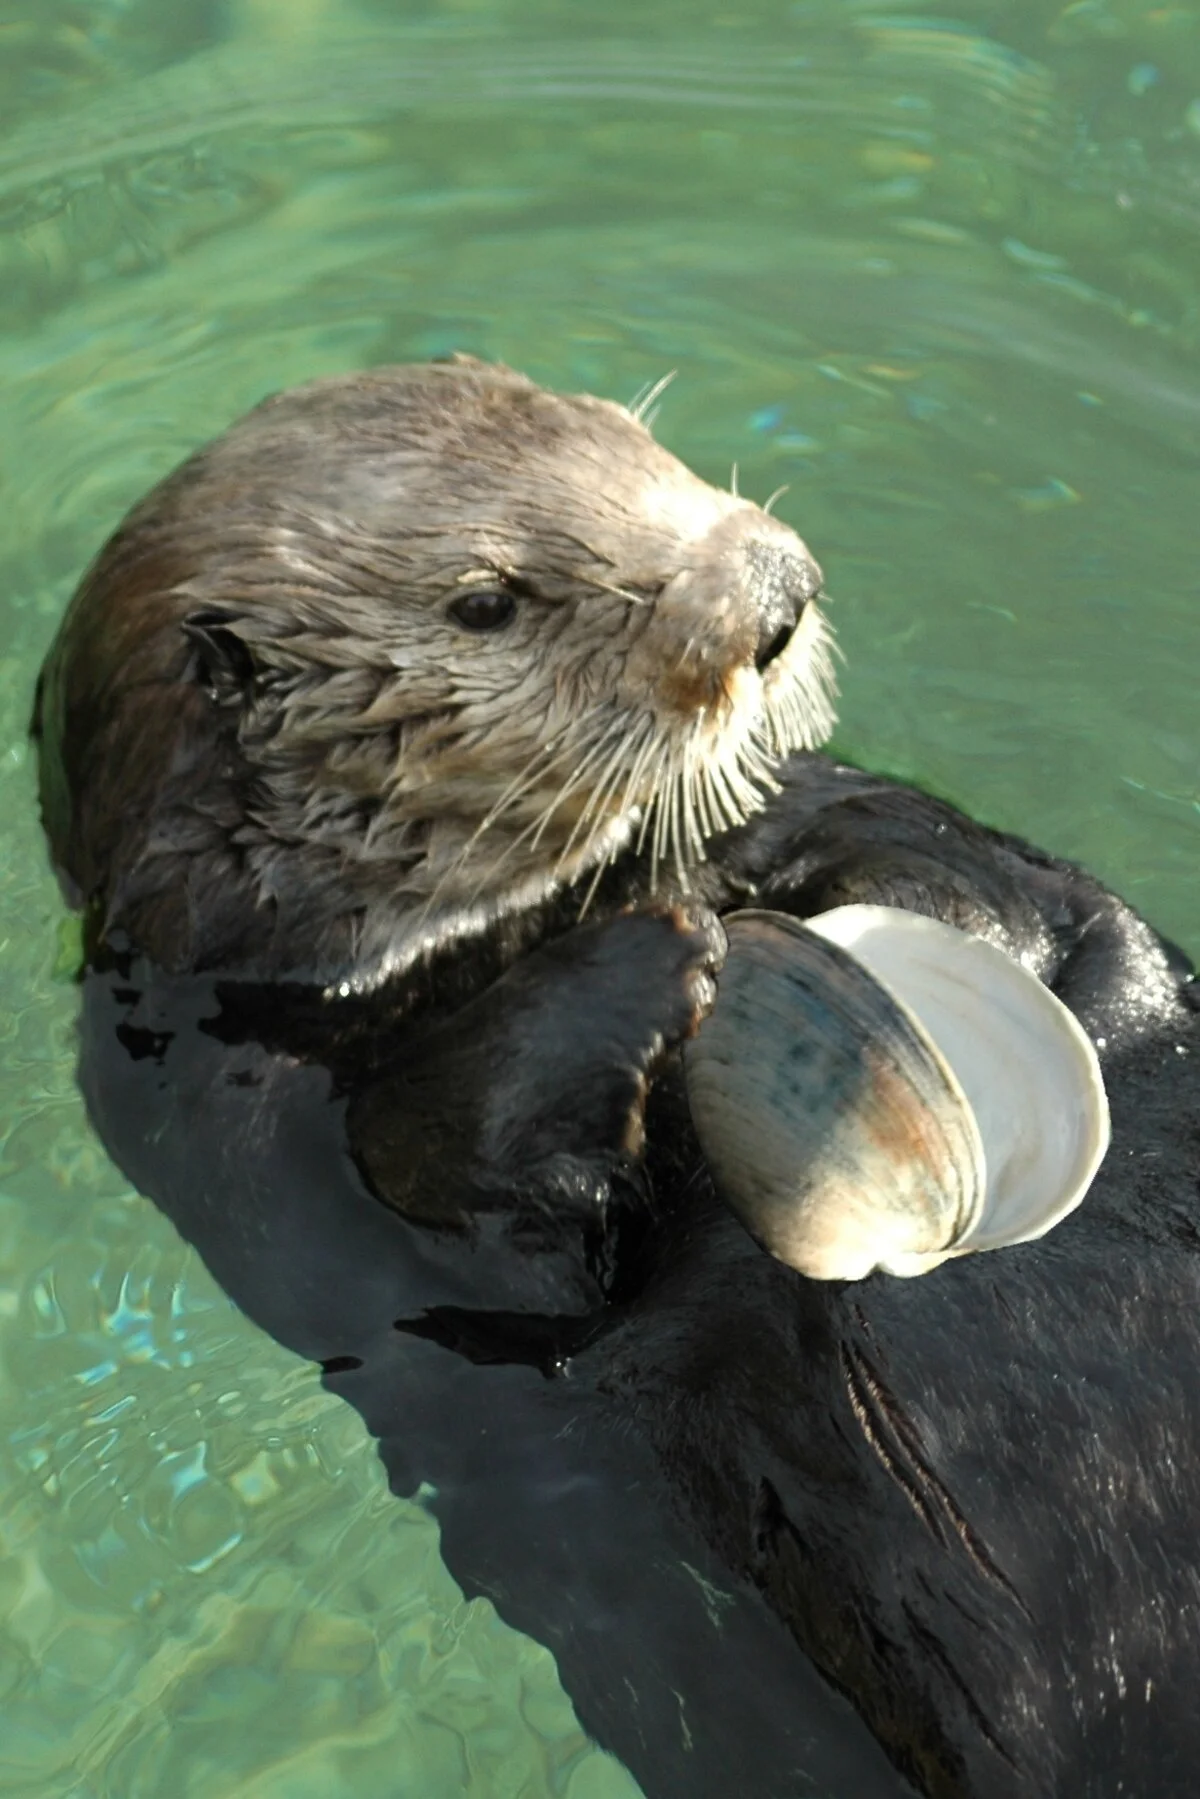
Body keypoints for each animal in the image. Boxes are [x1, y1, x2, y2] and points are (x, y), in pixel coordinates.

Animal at [33, 359, 1200, 1799]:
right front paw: (656, 954)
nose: (774, 588)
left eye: (626, 431)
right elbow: (483, 1220)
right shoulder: (249, 1140)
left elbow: (1037, 909)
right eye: (487, 600)